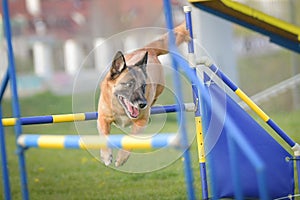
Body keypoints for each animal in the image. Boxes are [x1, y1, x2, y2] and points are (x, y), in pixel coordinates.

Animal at [97, 21, 189, 166]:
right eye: (129, 84)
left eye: (143, 86)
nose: (143, 104)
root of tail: (148, 50)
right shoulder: (102, 118)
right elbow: (103, 137)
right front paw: (106, 156)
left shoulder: (141, 122)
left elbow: (130, 140)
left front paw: (121, 158)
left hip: (159, 88)